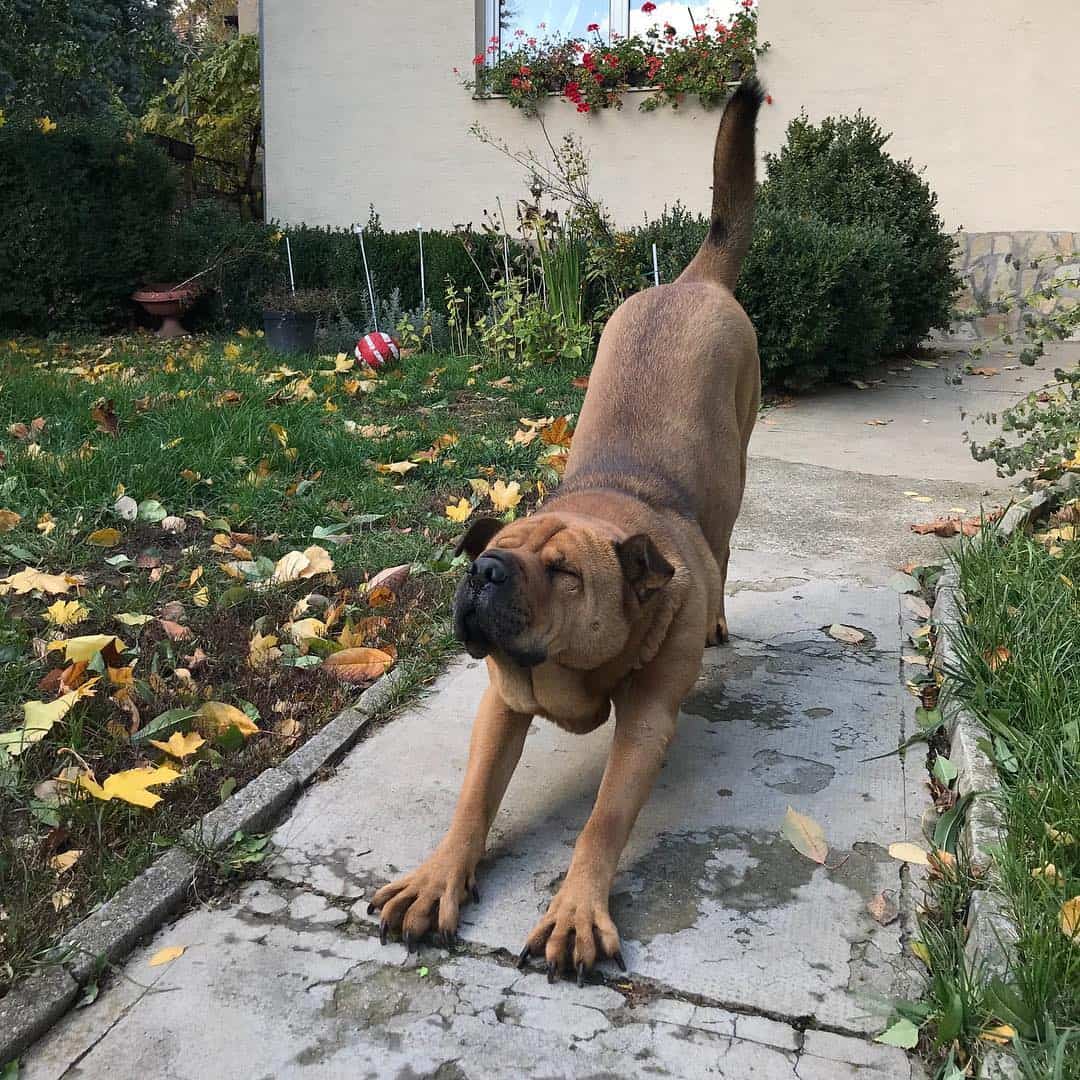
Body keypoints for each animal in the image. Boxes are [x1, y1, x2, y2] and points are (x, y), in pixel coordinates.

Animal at [373, 79, 768, 984]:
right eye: (488, 554)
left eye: (564, 572)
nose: (483, 576)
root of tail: (691, 280)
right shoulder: (498, 705)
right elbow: (473, 800)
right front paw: (442, 877)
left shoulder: (647, 723)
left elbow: (603, 820)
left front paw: (577, 909)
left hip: (739, 465)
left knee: (728, 542)